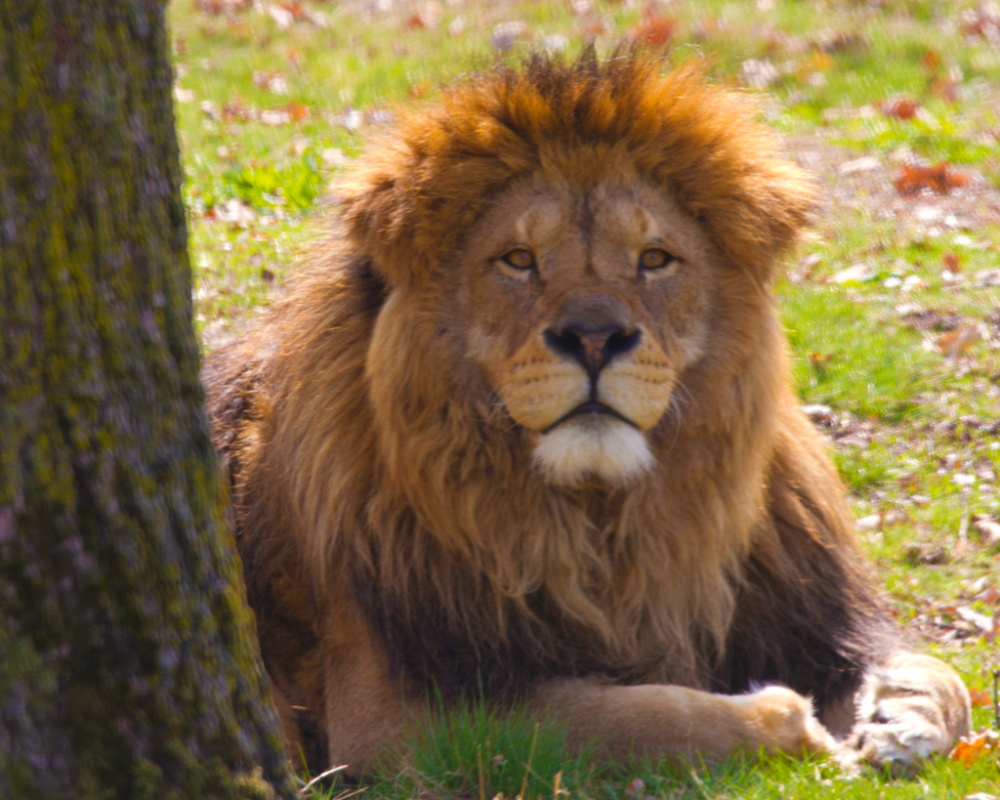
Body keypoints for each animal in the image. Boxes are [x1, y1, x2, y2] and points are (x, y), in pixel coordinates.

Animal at [203, 53, 970, 778]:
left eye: (654, 259)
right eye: (518, 259)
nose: (595, 338)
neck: (604, 523)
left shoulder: (814, 620)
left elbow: (942, 676)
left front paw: (900, 723)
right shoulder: (399, 719)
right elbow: (626, 715)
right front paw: (789, 724)